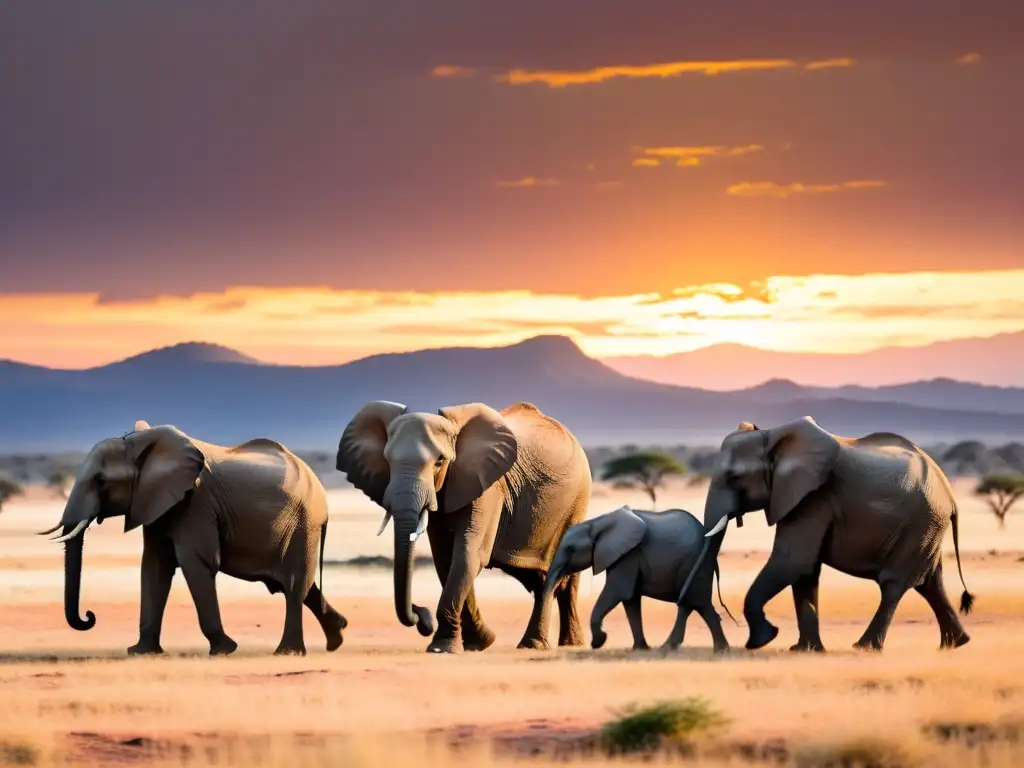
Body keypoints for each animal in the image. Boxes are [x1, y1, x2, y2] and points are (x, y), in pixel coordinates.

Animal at [40, 423, 348, 659]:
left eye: (101, 481)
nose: (89, 616)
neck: (141, 445)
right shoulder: (157, 503)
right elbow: (154, 567)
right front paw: (141, 652)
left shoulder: (196, 504)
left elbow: (196, 562)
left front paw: (223, 650)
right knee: (302, 586)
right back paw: (337, 637)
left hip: (303, 524)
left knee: (294, 585)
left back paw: (287, 652)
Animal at [337, 403, 589, 655]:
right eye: (387, 461)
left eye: (440, 461)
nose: (421, 615)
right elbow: (445, 558)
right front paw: (480, 642)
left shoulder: (488, 488)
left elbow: (468, 554)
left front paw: (442, 648)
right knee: (538, 577)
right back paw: (559, 643)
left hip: (576, 503)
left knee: (556, 574)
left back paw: (539, 645)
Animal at [540, 507, 733, 651]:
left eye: (571, 548)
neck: (596, 523)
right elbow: (630, 599)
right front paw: (640, 648)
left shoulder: (628, 555)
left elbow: (618, 591)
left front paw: (599, 641)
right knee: (700, 605)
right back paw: (720, 649)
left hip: (693, 563)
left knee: (690, 603)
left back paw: (669, 648)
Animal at [684, 417, 970, 651]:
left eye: (734, 477)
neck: (771, 437)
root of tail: (950, 494)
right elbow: (805, 571)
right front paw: (804, 650)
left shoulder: (814, 497)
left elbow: (793, 562)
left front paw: (763, 639)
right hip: (927, 528)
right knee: (930, 584)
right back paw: (955, 644)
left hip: (920, 524)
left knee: (894, 585)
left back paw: (864, 647)